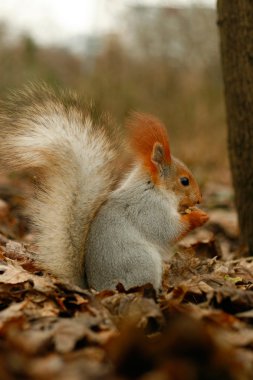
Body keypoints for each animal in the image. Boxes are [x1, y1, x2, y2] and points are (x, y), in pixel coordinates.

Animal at [0, 84, 209, 290]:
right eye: (184, 181)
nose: (199, 199)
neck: (154, 188)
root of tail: (94, 288)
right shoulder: (148, 208)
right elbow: (167, 230)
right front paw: (198, 217)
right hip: (141, 262)